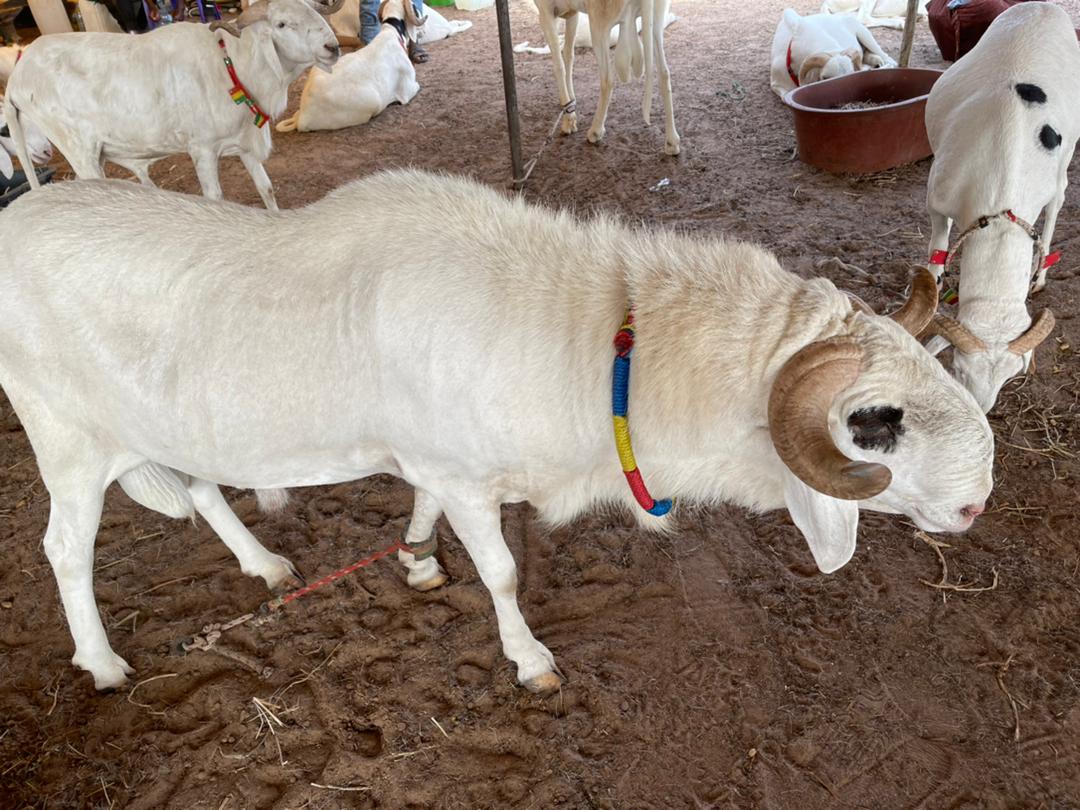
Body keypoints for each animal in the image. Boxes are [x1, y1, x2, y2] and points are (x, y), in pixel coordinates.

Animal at [0, 170, 995, 693]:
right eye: (875, 423)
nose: (977, 505)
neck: (601, 343)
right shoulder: (464, 473)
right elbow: (507, 572)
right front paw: (530, 660)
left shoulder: (438, 463)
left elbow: (420, 508)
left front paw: (415, 560)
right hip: (67, 439)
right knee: (64, 550)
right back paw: (102, 662)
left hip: (154, 422)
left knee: (204, 485)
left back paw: (265, 565)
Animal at [2, 0, 342, 210]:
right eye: (282, 24)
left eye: (313, 10)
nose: (333, 47)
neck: (231, 64)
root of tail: (18, 74)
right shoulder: (202, 148)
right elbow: (215, 197)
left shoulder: (244, 142)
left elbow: (266, 188)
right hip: (78, 151)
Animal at [534, 0, 680, 156]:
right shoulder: (572, 13)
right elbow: (568, 54)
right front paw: (570, 103)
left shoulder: (545, 12)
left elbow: (558, 65)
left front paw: (569, 120)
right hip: (656, 19)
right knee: (664, 72)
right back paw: (672, 142)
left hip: (599, 24)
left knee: (608, 79)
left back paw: (595, 131)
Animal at [920, 2, 1076, 413]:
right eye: (958, 368)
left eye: (1009, 378)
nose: (982, 410)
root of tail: (1046, 6)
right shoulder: (937, 198)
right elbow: (937, 247)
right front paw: (932, 283)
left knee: (1058, 204)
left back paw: (1040, 274)